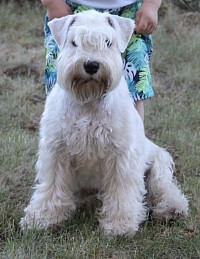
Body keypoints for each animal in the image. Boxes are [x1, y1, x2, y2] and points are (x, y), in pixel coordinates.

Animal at [20, 11, 189, 237]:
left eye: (108, 42)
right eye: (74, 41)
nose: (91, 65)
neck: (89, 101)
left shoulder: (120, 155)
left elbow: (121, 191)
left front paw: (119, 225)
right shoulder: (56, 151)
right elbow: (52, 187)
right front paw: (41, 218)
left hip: (158, 164)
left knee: (163, 189)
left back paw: (172, 208)